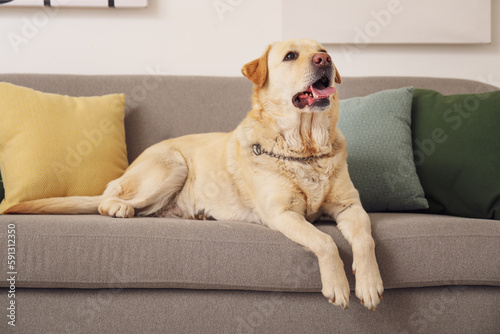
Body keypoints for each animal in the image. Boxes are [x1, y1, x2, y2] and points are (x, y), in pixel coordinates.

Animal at [6, 38, 382, 310]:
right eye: (291, 56)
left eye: (324, 51)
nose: (324, 61)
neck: (304, 148)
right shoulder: (282, 214)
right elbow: (325, 242)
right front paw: (338, 285)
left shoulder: (350, 207)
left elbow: (365, 239)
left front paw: (369, 283)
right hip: (173, 165)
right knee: (109, 199)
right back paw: (119, 208)